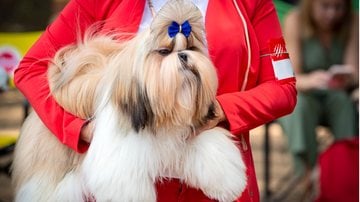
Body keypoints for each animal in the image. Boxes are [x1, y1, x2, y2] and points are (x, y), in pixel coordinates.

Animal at [11, 0, 248, 201]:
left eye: (191, 48)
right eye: (164, 52)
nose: (184, 56)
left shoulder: (194, 129)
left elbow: (212, 149)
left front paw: (227, 184)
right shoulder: (119, 154)